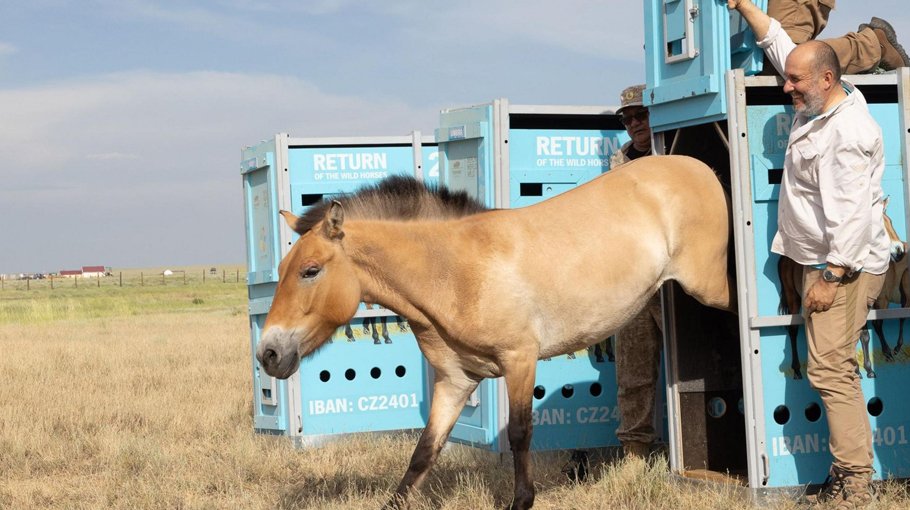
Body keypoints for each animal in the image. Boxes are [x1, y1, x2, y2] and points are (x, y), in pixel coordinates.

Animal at [256, 155, 734, 510]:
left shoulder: (520, 359)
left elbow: (520, 432)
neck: (454, 271)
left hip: (711, 286)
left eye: (310, 270)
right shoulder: (455, 381)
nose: (268, 354)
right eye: (283, 268)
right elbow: (424, 451)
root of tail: (697, 167)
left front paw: (522, 500)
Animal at [777, 198, 907, 379]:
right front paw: (859, 369)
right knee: (793, 329)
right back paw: (796, 370)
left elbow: (862, 334)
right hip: (792, 297)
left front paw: (865, 369)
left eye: (891, 221)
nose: (900, 251)